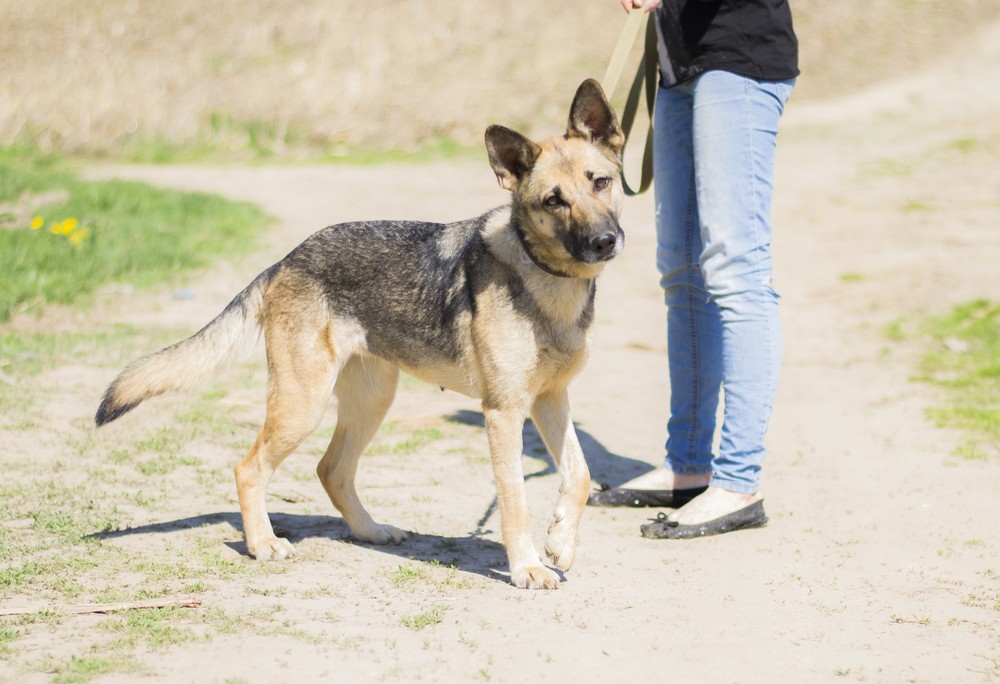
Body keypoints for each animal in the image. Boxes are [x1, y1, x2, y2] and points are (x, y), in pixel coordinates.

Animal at [95, 76, 624, 588]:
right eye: (553, 201)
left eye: (601, 182)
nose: (605, 242)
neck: (548, 278)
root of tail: (286, 260)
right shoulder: (504, 412)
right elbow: (514, 499)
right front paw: (527, 567)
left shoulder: (550, 399)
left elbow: (580, 473)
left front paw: (560, 542)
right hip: (303, 404)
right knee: (250, 467)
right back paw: (263, 543)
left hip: (372, 399)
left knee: (331, 469)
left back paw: (370, 531)